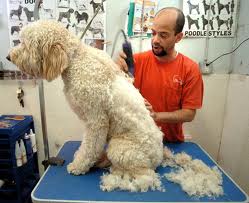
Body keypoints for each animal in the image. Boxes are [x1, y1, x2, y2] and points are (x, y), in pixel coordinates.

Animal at [7, 20, 163, 192]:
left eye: (26, 44)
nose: (8, 56)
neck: (75, 59)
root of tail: (158, 157)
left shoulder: (96, 120)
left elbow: (90, 147)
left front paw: (79, 166)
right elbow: (90, 146)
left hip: (119, 148)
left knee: (146, 175)